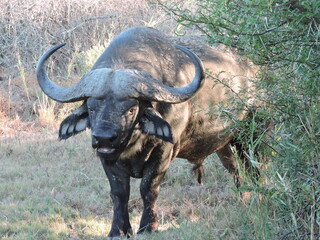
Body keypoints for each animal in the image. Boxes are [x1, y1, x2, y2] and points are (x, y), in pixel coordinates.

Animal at [36, 26, 260, 238]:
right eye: (91, 108)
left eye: (131, 109)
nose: (104, 138)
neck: (133, 143)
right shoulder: (107, 158)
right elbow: (119, 193)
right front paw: (118, 230)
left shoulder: (164, 152)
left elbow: (148, 188)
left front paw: (147, 227)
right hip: (224, 145)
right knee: (235, 171)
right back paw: (243, 199)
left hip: (252, 136)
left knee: (255, 170)